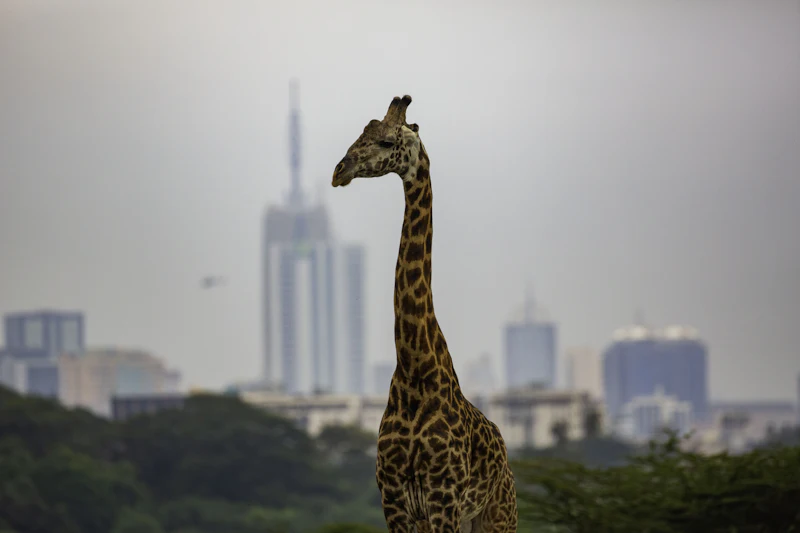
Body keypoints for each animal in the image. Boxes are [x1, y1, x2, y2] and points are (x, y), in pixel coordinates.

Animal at [331, 95, 518, 533]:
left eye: (385, 141)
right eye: (361, 133)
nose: (338, 171)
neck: (414, 366)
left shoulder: (442, 497)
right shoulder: (395, 500)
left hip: (497, 515)